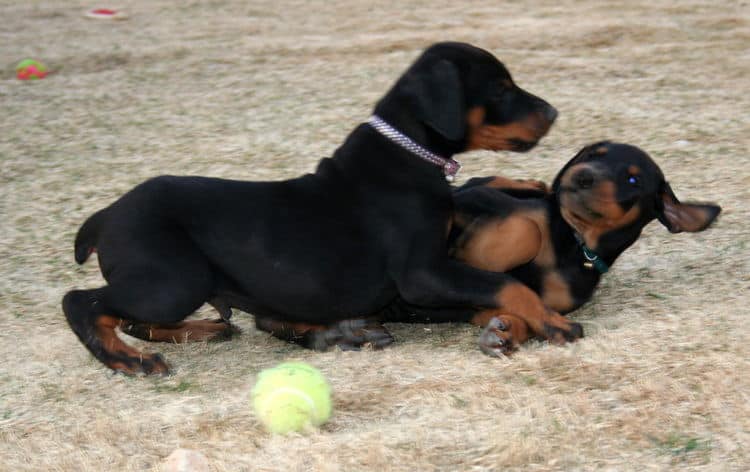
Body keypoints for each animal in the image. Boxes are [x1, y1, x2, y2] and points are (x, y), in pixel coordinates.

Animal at [63, 42, 564, 374]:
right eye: (500, 88)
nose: (554, 112)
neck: (407, 152)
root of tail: (105, 217)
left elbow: (473, 197)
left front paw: (527, 183)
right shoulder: (422, 273)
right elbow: (505, 284)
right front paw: (551, 321)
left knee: (129, 315)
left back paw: (205, 330)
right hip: (175, 280)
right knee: (83, 303)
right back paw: (129, 360)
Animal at [382, 142, 724, 356]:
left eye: (632, 180)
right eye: (591, 153)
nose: (583, 175)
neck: (574, 243)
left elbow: (524, 307)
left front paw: (504, 332)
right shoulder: (470, 201)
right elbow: (527, 229)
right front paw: (473, 256)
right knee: (490, 179)